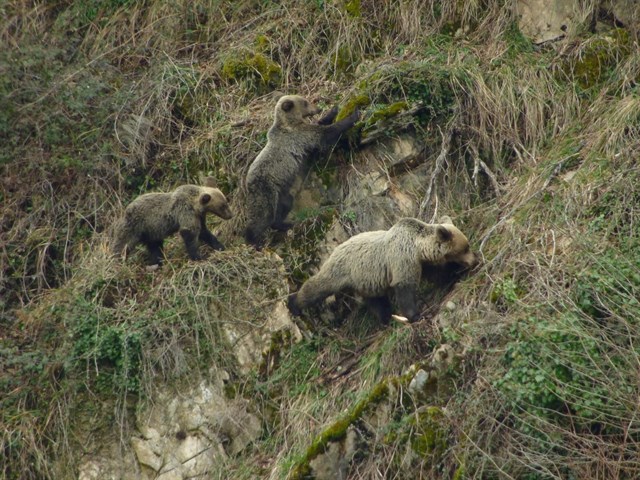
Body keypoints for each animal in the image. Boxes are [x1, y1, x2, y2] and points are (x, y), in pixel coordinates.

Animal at [244, 94, 359, 248]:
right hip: (265, 190)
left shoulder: (302, 132)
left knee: (284, 206)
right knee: (262, 216)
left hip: (283, 190)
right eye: (305, 102)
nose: (318, 108)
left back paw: (285, 224)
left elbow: (319, 125)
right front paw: (354, 115)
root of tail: (246, 183)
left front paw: (333, 110)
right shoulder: (299, 136)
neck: (290, 122)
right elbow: (324, 134)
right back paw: (253, 241)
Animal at [287, 216, 477, 324]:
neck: (417, 247)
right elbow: (404, 285)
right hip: (342, 270)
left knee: (375, 300)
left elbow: (436, 274)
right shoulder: (401, 257)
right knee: (320, 286)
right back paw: (293, 303)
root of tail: (336, 247)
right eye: (465, 248)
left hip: (364, 280)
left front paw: (452, 275)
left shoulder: (420, 262)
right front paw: (414, 315)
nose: (474, 260)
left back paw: (384, 318)